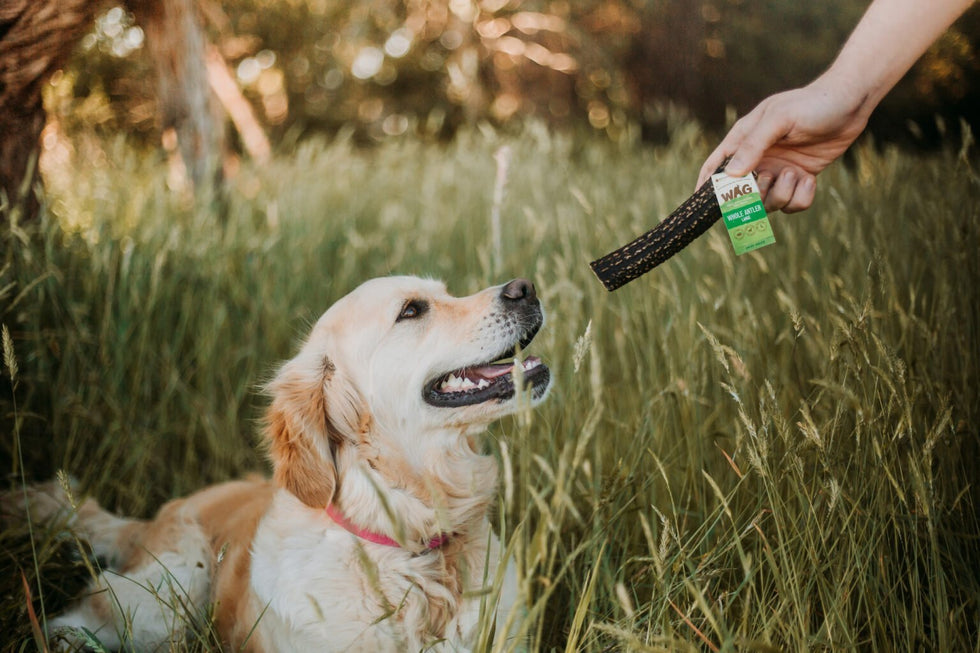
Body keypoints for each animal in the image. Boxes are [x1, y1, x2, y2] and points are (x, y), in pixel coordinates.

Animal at [9, 276, 552, 652]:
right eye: (412, 310)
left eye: (445, 292)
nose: (525, 287)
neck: (416, 547)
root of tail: (153, 519)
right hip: (170, 590)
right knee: (78, 618)